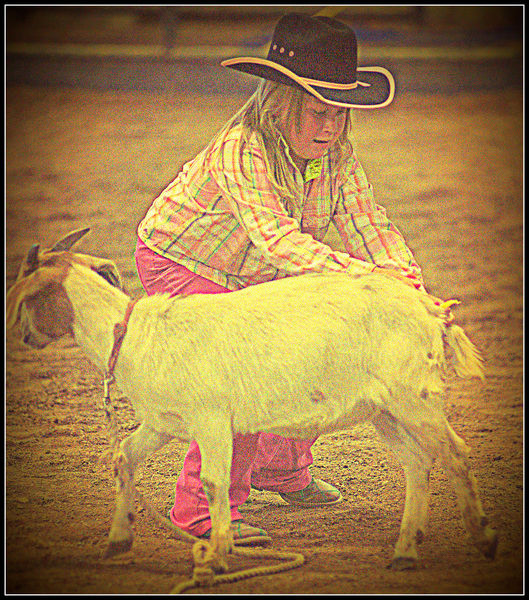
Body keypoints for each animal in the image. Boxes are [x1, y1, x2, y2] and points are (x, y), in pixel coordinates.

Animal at [6, 229, 498, 572]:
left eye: (24, 297)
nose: (24, 338)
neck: (131, 335)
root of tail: (432, 309)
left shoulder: (209, 418)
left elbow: (214, 482)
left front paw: (217, 556)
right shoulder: (164, 421)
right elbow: (124, 454)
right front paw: (118, 540)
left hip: (414, 396)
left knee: (456, 453)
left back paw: (483, 539)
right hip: (384, 410)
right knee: (418, 462)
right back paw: (405, 551)